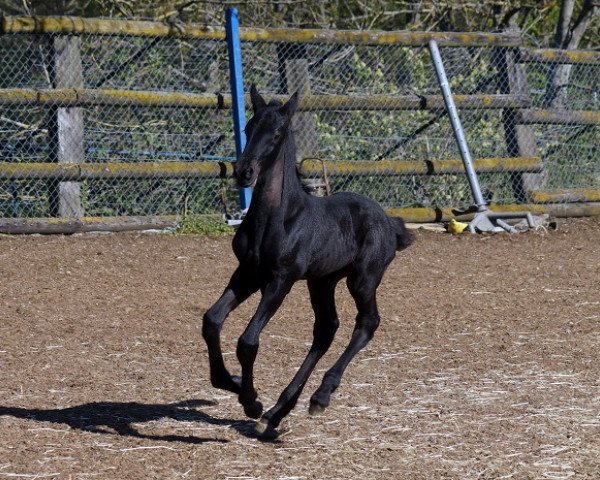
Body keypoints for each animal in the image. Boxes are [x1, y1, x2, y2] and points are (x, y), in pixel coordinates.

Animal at [202, 86, 412, 438]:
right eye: (247, 128)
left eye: (277, 133)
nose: (244, 172)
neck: (278, 218)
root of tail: (389, 221)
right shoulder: (247, 273)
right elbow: (212, 320)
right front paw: (231, 382)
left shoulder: (280, 279)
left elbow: (248, 341)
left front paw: (251, 401)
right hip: (322, 281)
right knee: (326, 328)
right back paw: (277, 413)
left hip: (363, 279)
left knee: (367, 322)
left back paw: (319, 397)